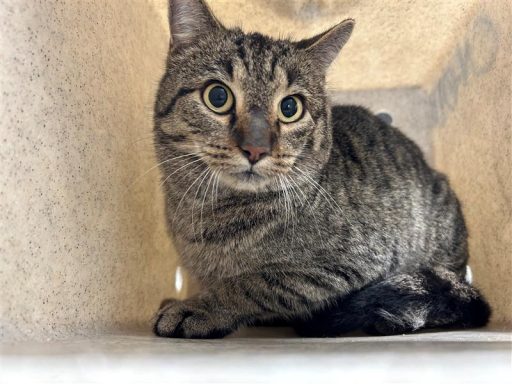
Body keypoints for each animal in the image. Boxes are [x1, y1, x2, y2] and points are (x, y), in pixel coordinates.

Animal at [151, 0, 488, 338]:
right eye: (218, 96)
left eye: (290, 108)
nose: (256, 149)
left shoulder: (348, 265)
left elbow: (255, 284)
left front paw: (200, 307)